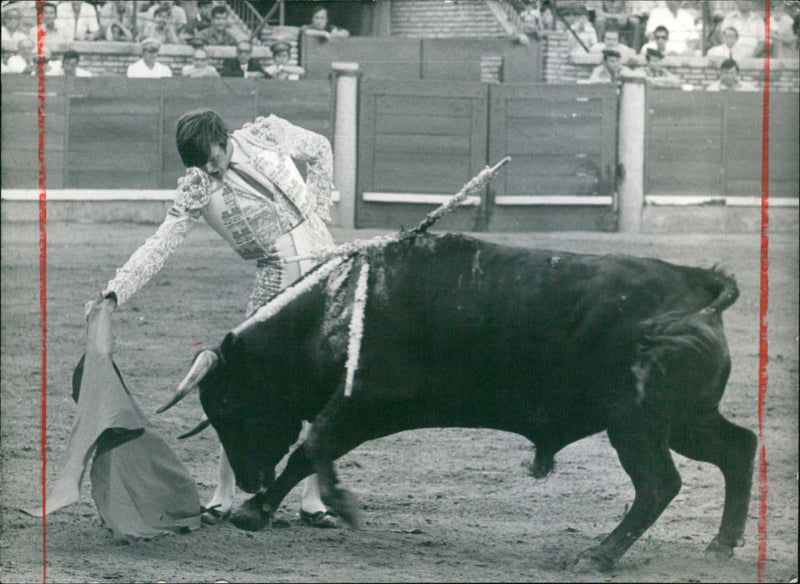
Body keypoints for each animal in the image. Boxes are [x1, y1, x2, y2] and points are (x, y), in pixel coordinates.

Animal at [170, 233, 756, 572]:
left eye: (229, 404)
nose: (250, 479)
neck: (335, 311)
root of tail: (696, 284)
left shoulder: (366, 401)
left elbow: (310, 446)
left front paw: (263, 511)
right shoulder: (359, 409)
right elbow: (312, 448)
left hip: (635, 422)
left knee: (659, 483)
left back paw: (598, 555)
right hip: (685, 420)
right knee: (738, 448)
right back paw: (721, 545)